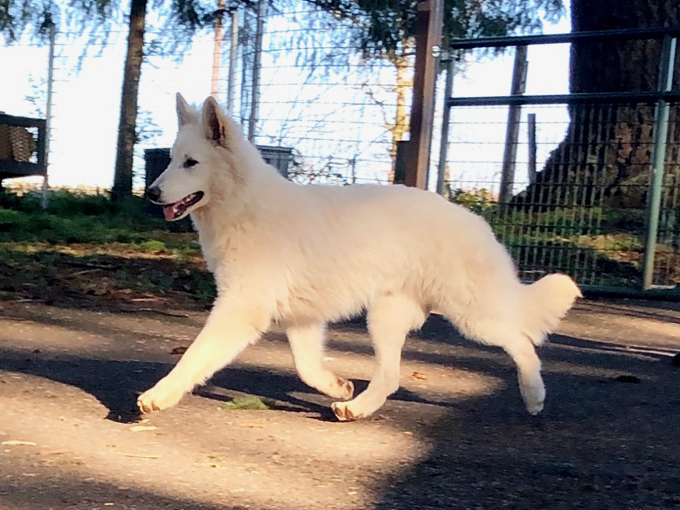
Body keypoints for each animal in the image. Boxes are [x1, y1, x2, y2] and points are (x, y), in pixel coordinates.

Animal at [141, 93, 580, 420]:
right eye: (170, 159)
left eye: (191, 163)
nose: (151, 193)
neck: (245, 205)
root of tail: (477, 220)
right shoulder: (301, 318)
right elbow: (306, 367)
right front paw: (336, 384)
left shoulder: (240, 309)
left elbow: (195, 356)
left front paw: (159, 395)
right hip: (385, 319)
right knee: (390, 378)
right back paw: (356, 407)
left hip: (471, 316)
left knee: (522, 340)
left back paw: (534, 395)